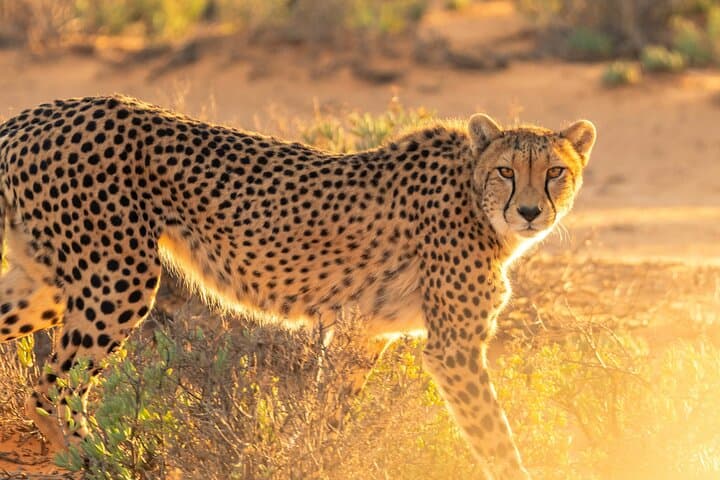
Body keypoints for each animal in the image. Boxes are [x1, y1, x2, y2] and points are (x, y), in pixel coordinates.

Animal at [0, 95, 595, 479]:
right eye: (506, 170)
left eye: (555, 172)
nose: (529, 212)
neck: (475, 196)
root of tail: (36, 114)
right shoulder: (453, 349)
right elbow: (495, 437)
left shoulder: (362, 333)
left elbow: (328, 416)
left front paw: (309, 460)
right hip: (117, 279)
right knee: (55, 385)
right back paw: (97, 461)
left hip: (49, 283)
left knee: (39, 373)